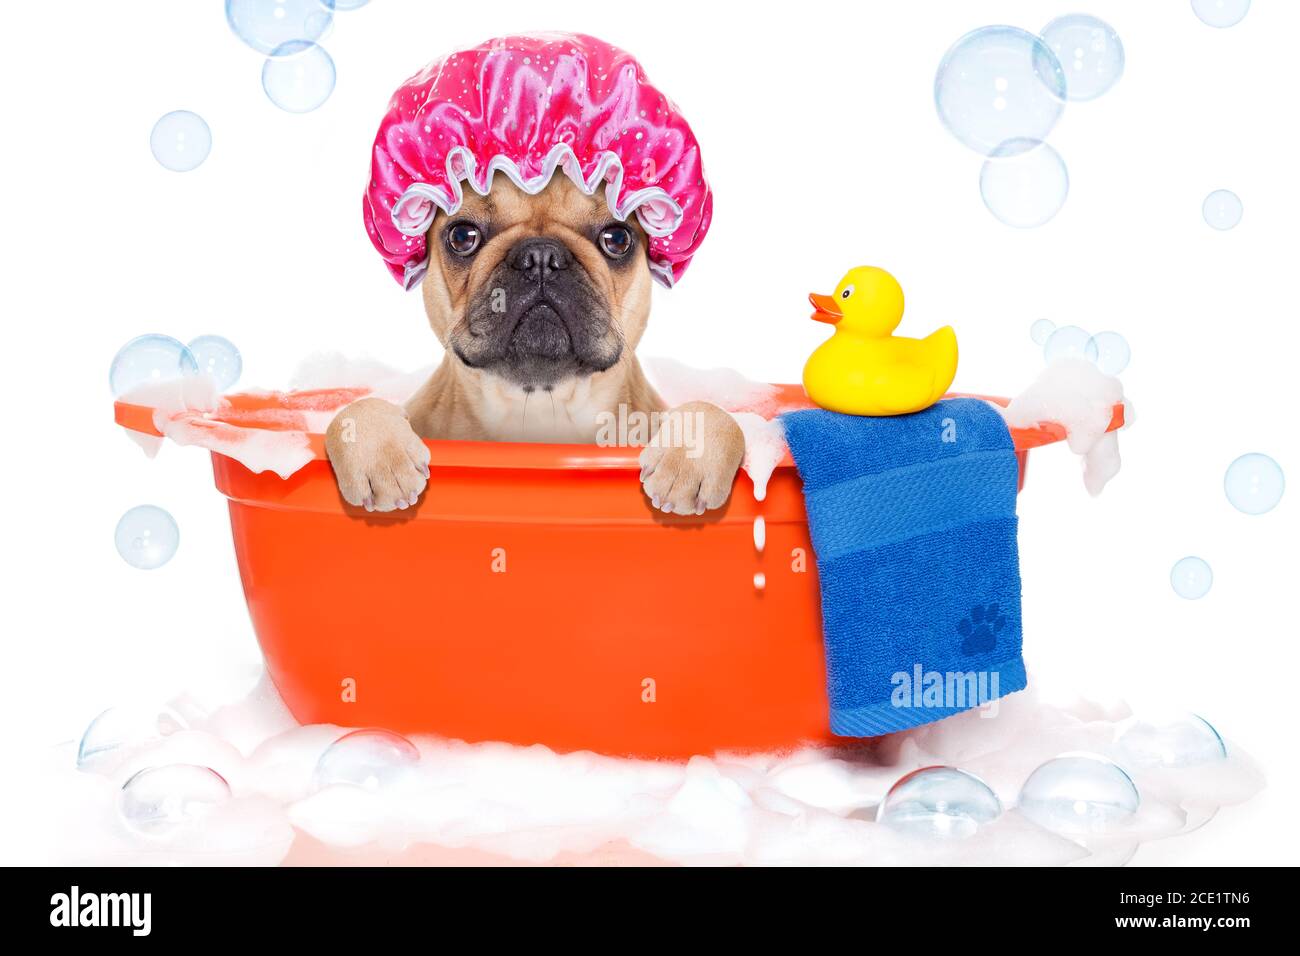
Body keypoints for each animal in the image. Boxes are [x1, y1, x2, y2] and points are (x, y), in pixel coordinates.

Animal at [325, 171, 748, 515]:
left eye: (617, 239)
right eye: (462, 236)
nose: (541, 255)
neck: (541, 404)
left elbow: (719, 417)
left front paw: (689, 457)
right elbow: (354, 414)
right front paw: (381, 457)